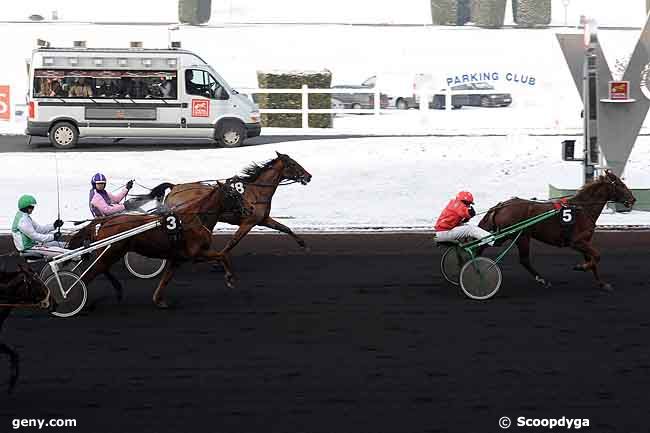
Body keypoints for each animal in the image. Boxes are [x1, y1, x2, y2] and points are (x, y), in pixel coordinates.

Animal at [67, 181, 246, 308]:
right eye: (232, 195)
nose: (248, 209)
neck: (195, 219)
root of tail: (105, 221)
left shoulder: (177, 258)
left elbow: (166, 278)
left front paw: (159, 300)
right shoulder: (196, 253)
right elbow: (223, 255)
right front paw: (230, 279)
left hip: (111, 252)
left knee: (102, 269)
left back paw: (116, 290)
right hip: (112, 252)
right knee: (93, 273)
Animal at [478, 170, 636, 290]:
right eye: (621, 185)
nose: (633, 199)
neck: (583, 209)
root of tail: (501, 206)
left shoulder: (584, 242)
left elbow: (593, 261)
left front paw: (602, 283)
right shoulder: (577, 242)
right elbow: (597, 256)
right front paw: (581, 267)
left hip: (513, 235)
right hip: (516, 236)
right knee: (519, 258)